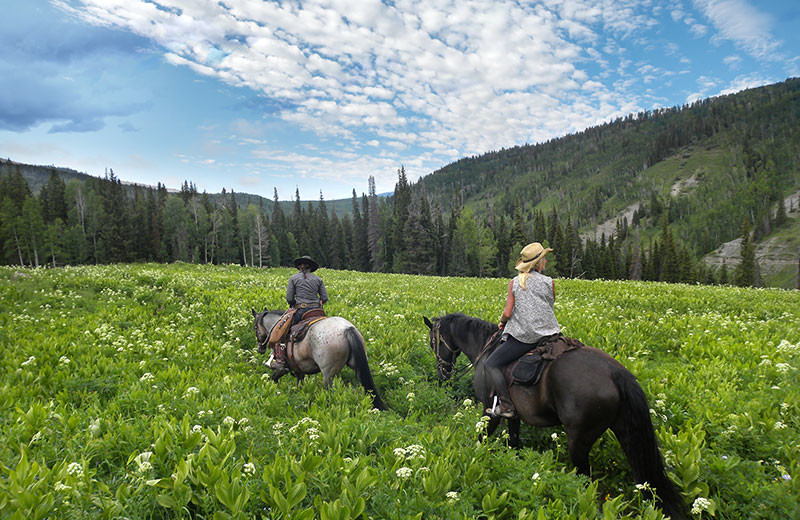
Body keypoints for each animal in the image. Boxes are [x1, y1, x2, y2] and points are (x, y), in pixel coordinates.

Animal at [252, 308, 386, 410]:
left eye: (255, 328)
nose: (260, 349)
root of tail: (346, 329)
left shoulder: (282, 368)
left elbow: (273, 378)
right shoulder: (299, 371)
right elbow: (299, 385)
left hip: (328, 373)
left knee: (330, 390)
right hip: (357, 366)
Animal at [424, 312, 688, 520]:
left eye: (432, 342)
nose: (442, 375)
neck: (486, 350)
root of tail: (617, 373)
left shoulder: (490, 412)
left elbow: (482, 441)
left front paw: (473, 460)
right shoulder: (514, 416)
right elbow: (514, 444)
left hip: (579, 441)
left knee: (585, 480)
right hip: (625, 433)